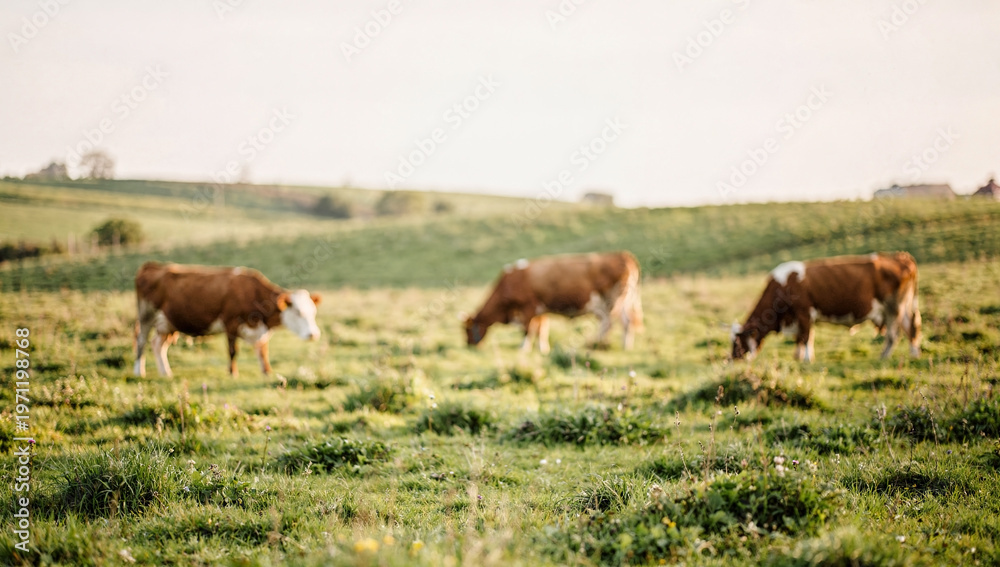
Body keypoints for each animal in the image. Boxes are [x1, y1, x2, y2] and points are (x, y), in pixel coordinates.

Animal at [134, 262, 321, 378]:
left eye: (313, 312)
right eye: (298, 312)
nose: (314, 334)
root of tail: (152, 266)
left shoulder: (259, 330)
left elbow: (263, 350)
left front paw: (267, 371)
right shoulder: (231, 323)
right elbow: (233, 351)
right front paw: (233, 373)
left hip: (167, 323)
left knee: (158, 345)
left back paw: (166, 372)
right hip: (146, 315)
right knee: (141, 341)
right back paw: (139, 371)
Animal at [464, 251, 643, 353]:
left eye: (466, 330)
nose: (469, 345)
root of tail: (623, 255)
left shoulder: (528, 307)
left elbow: (528, 330)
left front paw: (524, 348)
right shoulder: (540, 310)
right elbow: (541, 329)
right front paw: (543, 349)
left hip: (614, 299)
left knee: (609, 322)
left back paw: (595, 344)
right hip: (624, 301)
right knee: (627, 322)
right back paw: (626, 346)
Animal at [731, 252, 921, 362]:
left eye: (737, 342)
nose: (731, 359)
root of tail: (900, 256)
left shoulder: (804, 312)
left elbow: (806, 337)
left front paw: (807, 359)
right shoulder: (801, 317)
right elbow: (803, 337)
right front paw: (798, 356)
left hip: (894, 306)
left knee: (897, 332)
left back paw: (889, 356)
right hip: (900, 307)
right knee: (907, 328)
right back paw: (911, 353)